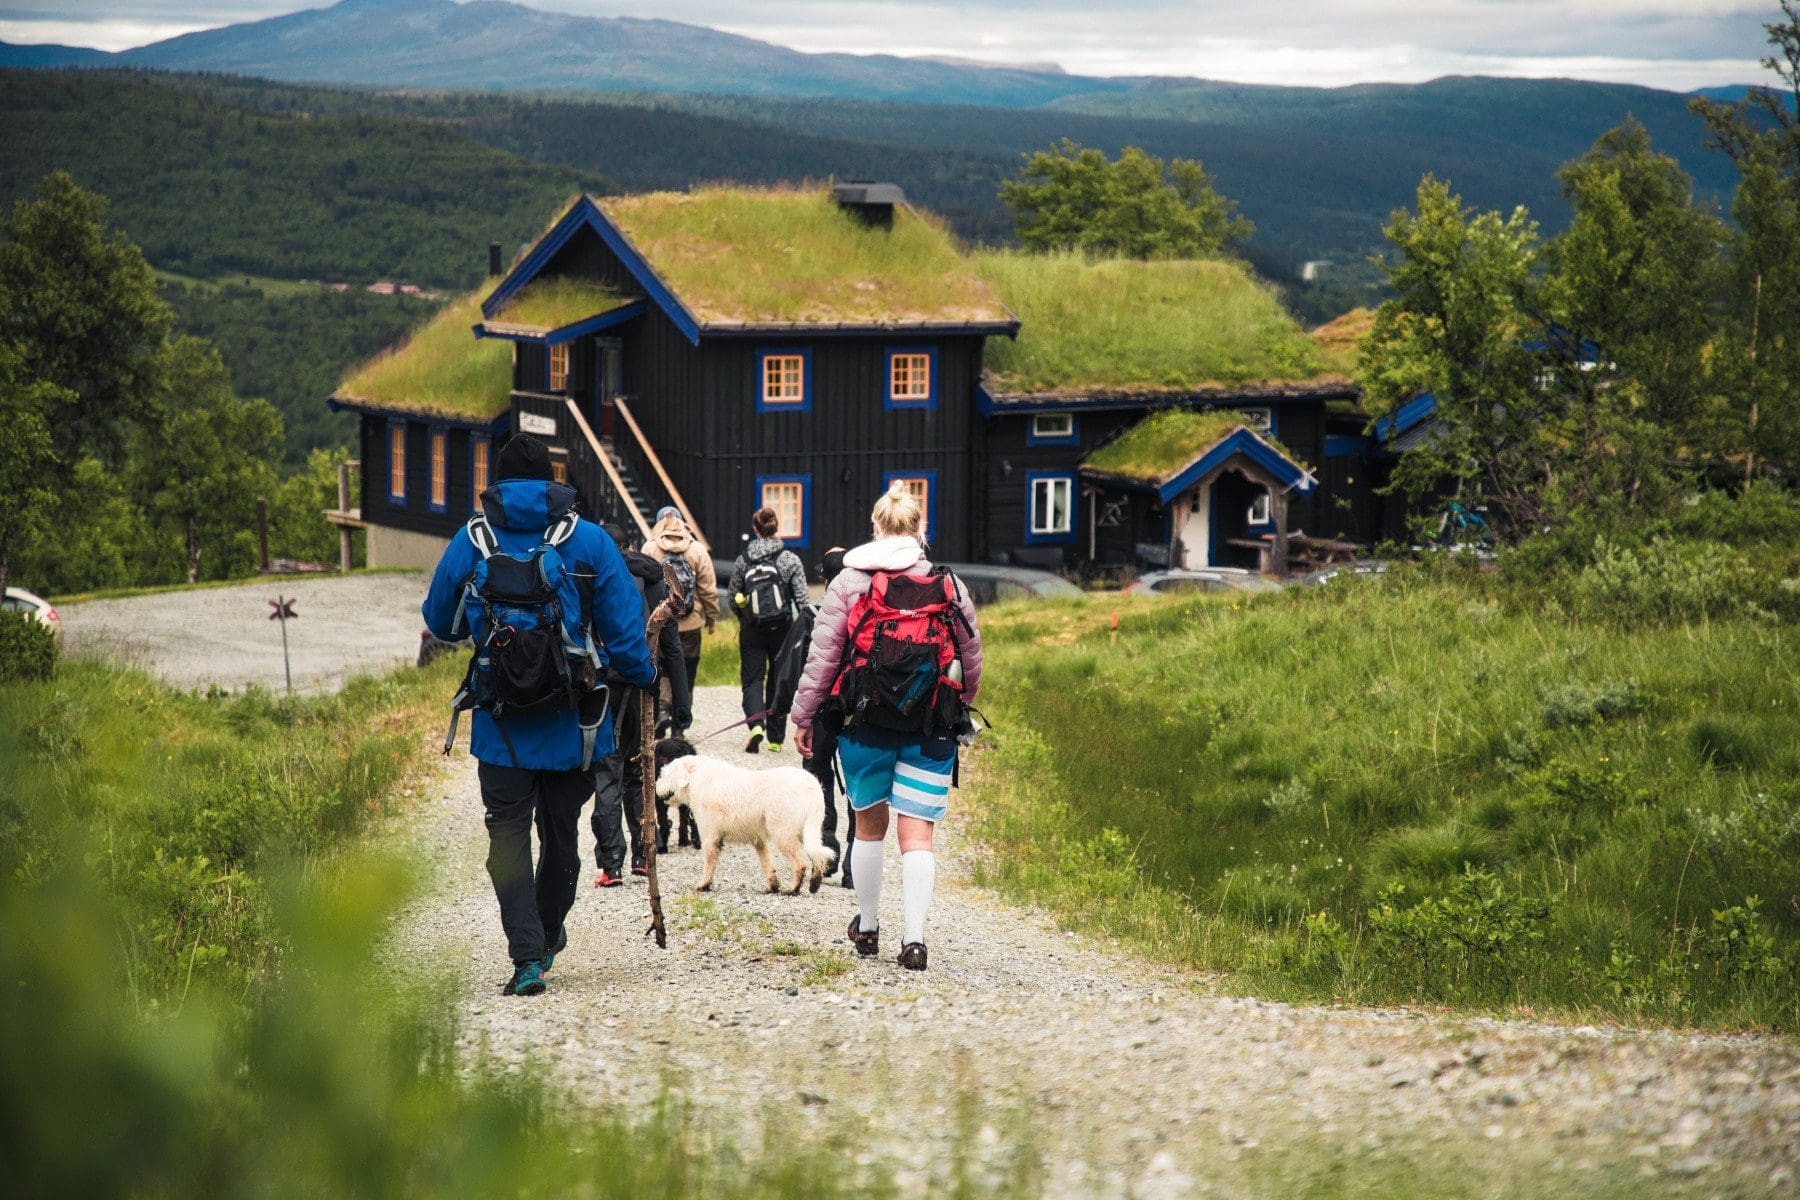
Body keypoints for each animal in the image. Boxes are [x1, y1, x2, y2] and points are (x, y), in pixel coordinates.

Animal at [658, 755, 831, 895]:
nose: (656, 787)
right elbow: (768, 864)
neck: (696, 775)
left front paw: (703, 885)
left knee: (800, 864)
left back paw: (792, 889)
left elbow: (709, 863)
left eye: (665, 774)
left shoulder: (710, 837)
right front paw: (772, 886)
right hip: (808, 832)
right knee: (818, 856)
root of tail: (812, 786)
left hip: (784, 835)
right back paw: (814, 884)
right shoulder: (760, 840)